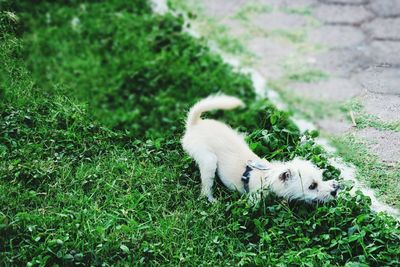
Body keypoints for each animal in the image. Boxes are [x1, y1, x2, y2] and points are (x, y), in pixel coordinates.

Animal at [182, 96, 340, 203]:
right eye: (312, 186)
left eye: (321, 178)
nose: (336, 189)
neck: (268, 178)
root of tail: (195, 124)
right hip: (209, 161)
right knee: (206, 186)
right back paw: (211, 199)